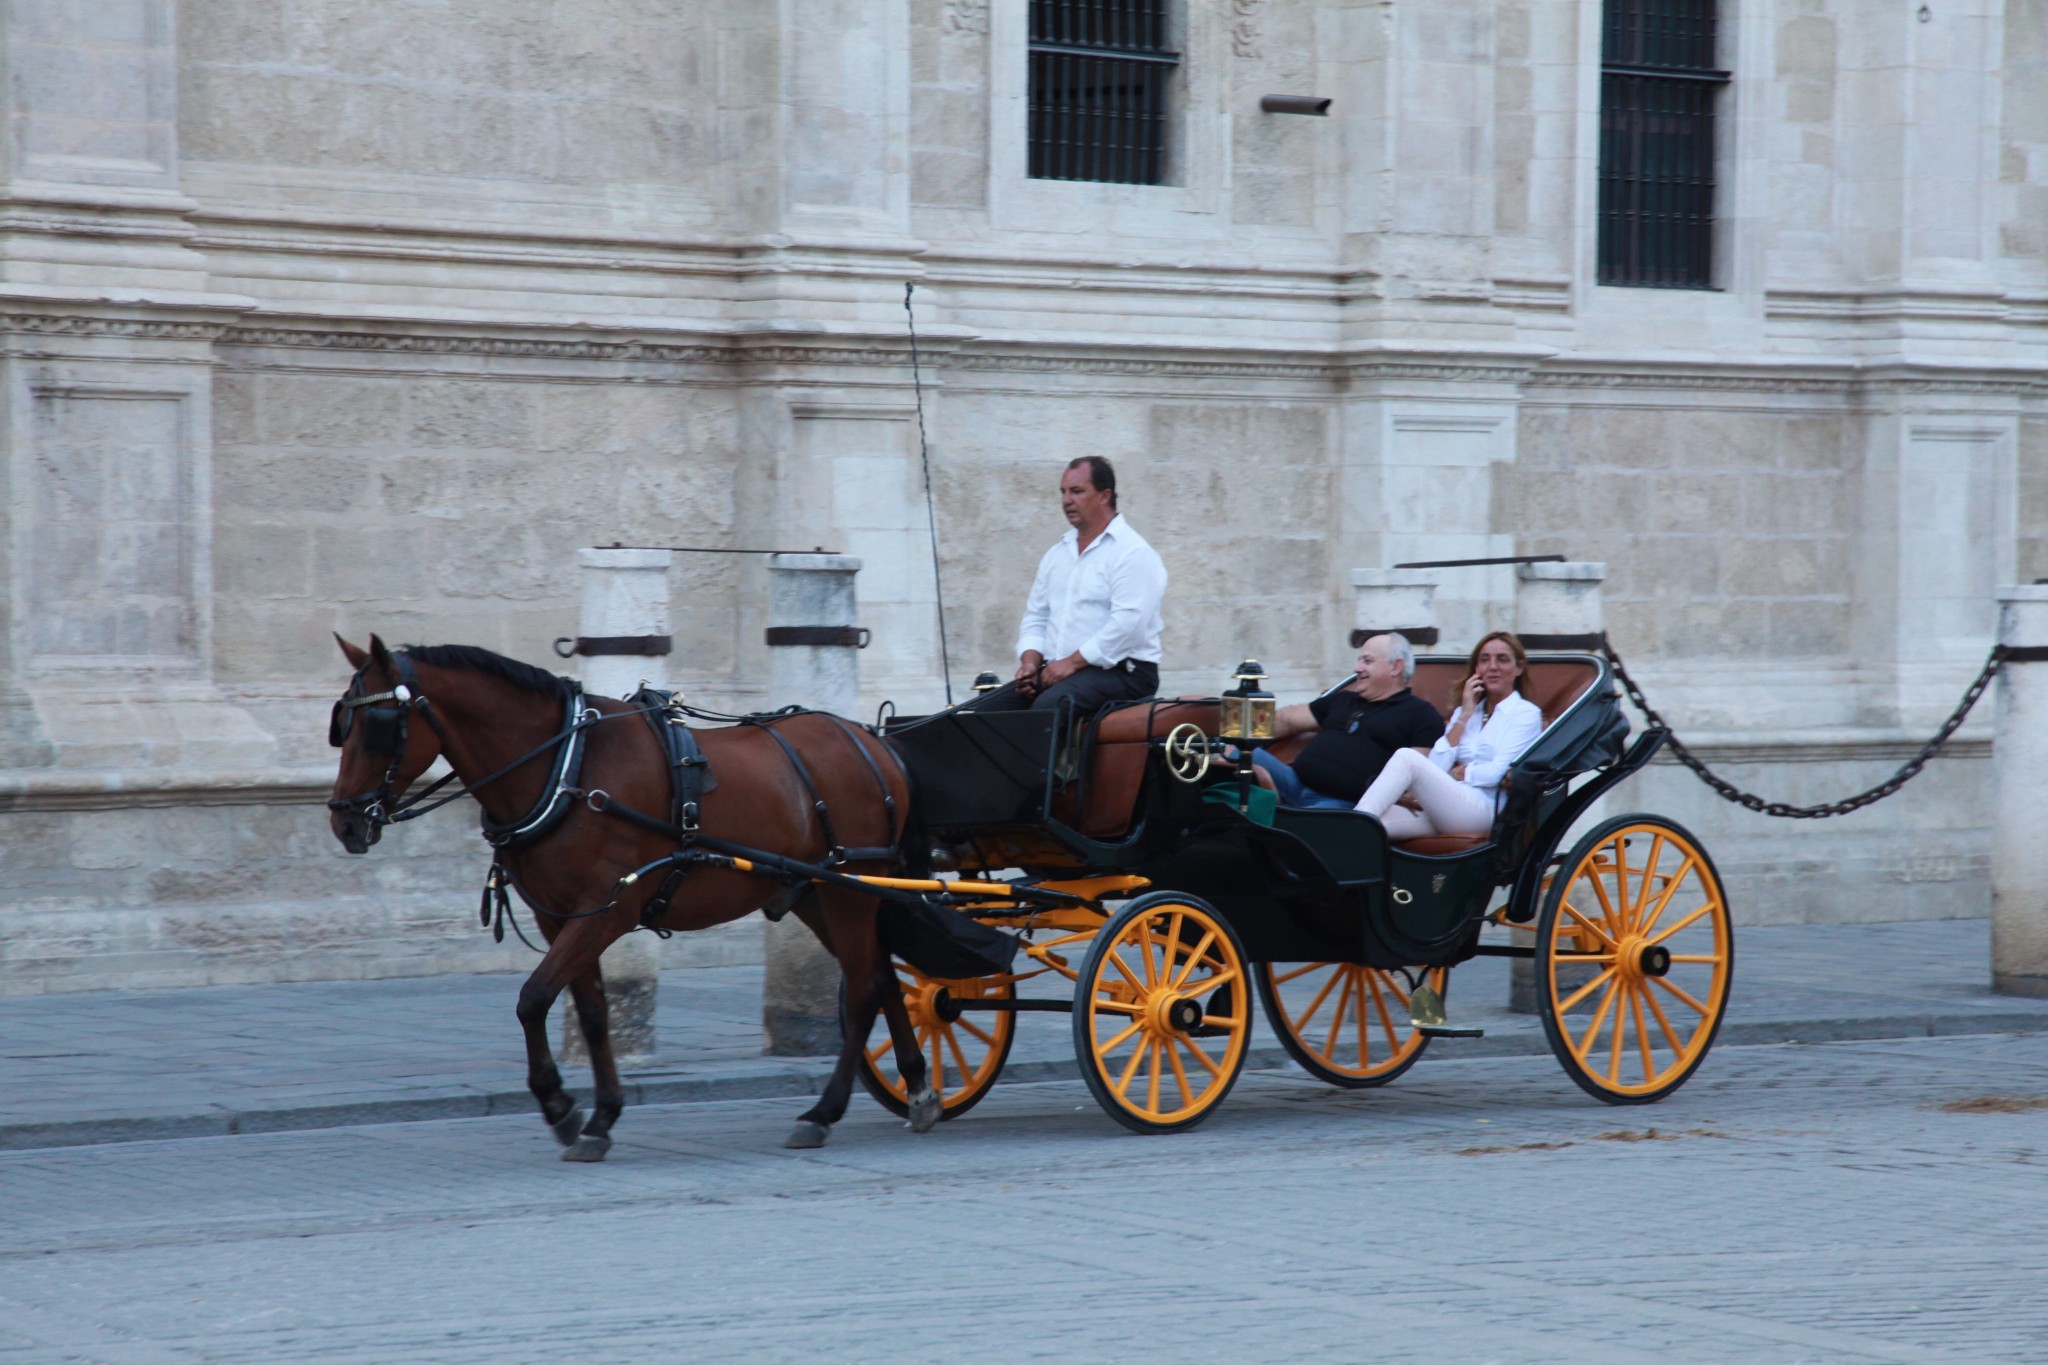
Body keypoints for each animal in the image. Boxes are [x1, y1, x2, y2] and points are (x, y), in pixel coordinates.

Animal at [323, 642, 933, 1162]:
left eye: (377, 728)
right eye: (341, 726)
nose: (344, 822)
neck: (568, 769)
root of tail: (873, 741)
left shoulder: (607, 911)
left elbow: (533, 998)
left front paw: (560, 1107)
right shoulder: (560, 917)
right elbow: (592, 1013)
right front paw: (600, 1117)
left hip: (848, 888)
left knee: (862, 990)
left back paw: (823, 1113)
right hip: (817, 894)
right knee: (883, 979)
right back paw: (920, 1088)